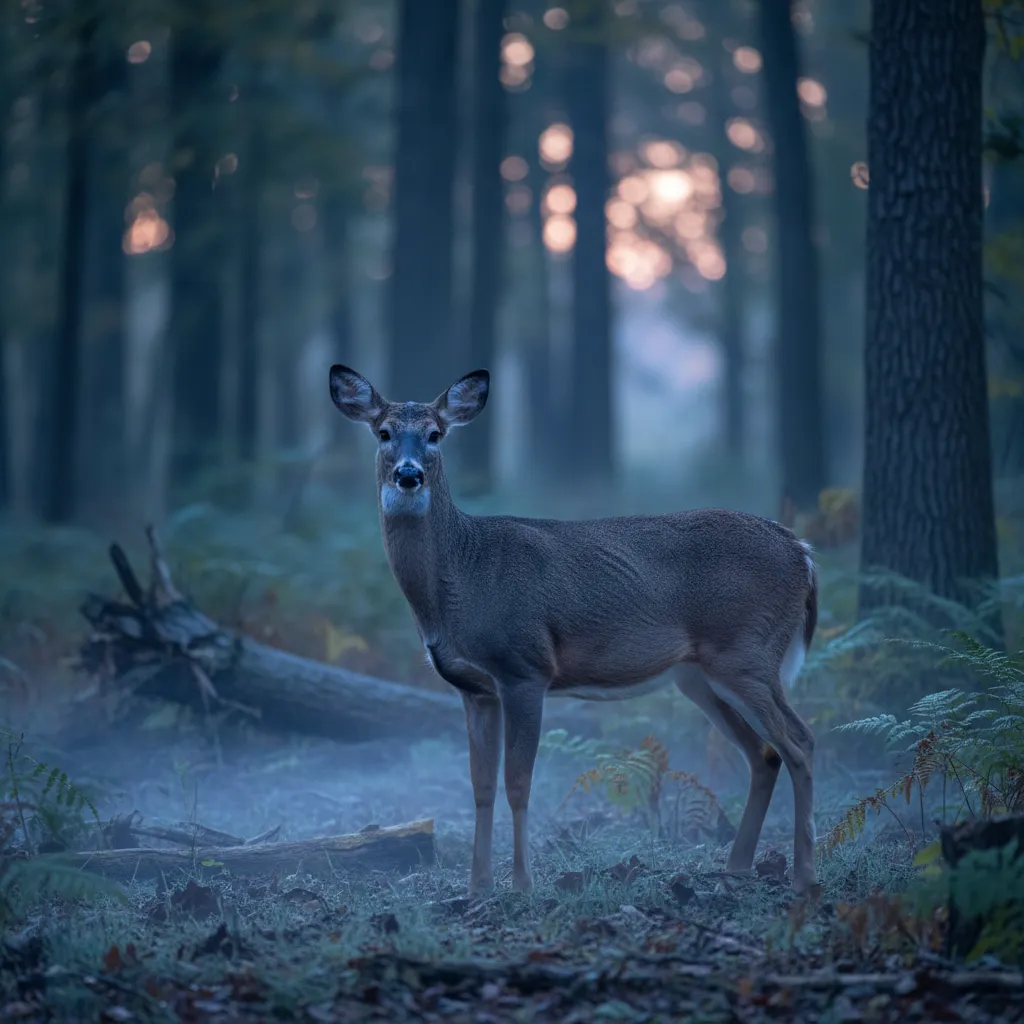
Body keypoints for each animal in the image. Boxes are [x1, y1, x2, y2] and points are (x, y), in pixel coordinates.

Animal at [329, 364, 820, 896]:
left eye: (436, 434)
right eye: (383, 432)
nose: (409, 475)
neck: (461, 579)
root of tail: (802, 552)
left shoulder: (525, 667)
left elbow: (518, 783)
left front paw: (522, 883)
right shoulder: (473, 688)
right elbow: (480, 786)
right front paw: (478, 885)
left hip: (747, 651)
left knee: (801, 741)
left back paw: (804, 874)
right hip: (701, 676)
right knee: (764, 754)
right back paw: (737, 866)